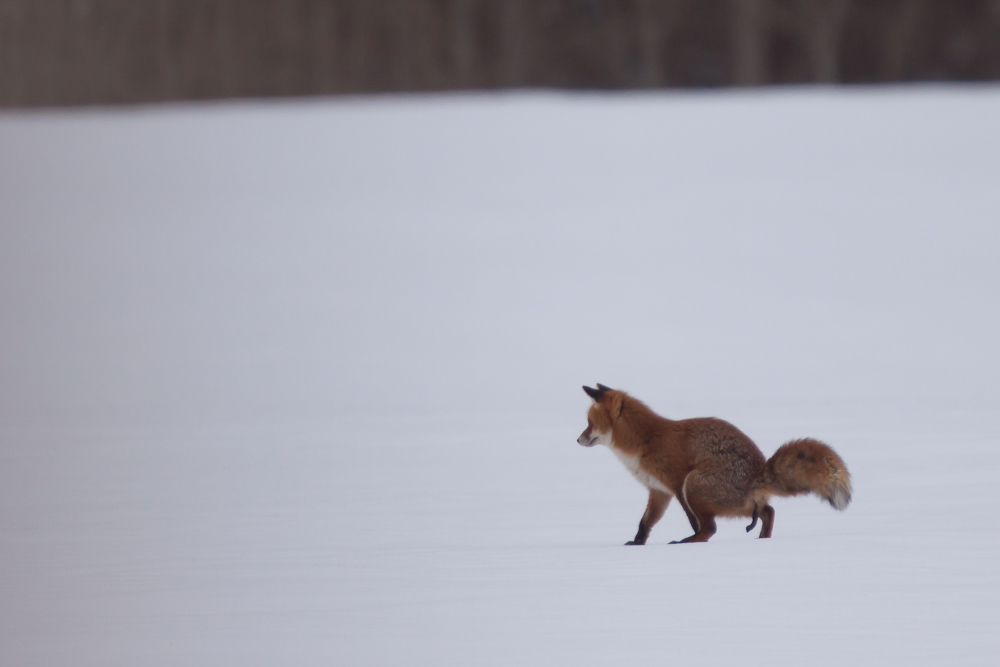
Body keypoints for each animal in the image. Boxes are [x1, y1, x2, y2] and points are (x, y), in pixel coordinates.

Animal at [580, 384, 852, 544]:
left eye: (590, 423)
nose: (577, 439)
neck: (645, 439)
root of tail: (758, 472)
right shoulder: (659, 491)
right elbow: (645, 523)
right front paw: (636, 544)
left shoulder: (677, 483)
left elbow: (693, 521)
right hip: (739, 503)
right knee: (769, 511)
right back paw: (763, 540)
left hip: (695, 485)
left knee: (711, 528)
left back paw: (691, 541)